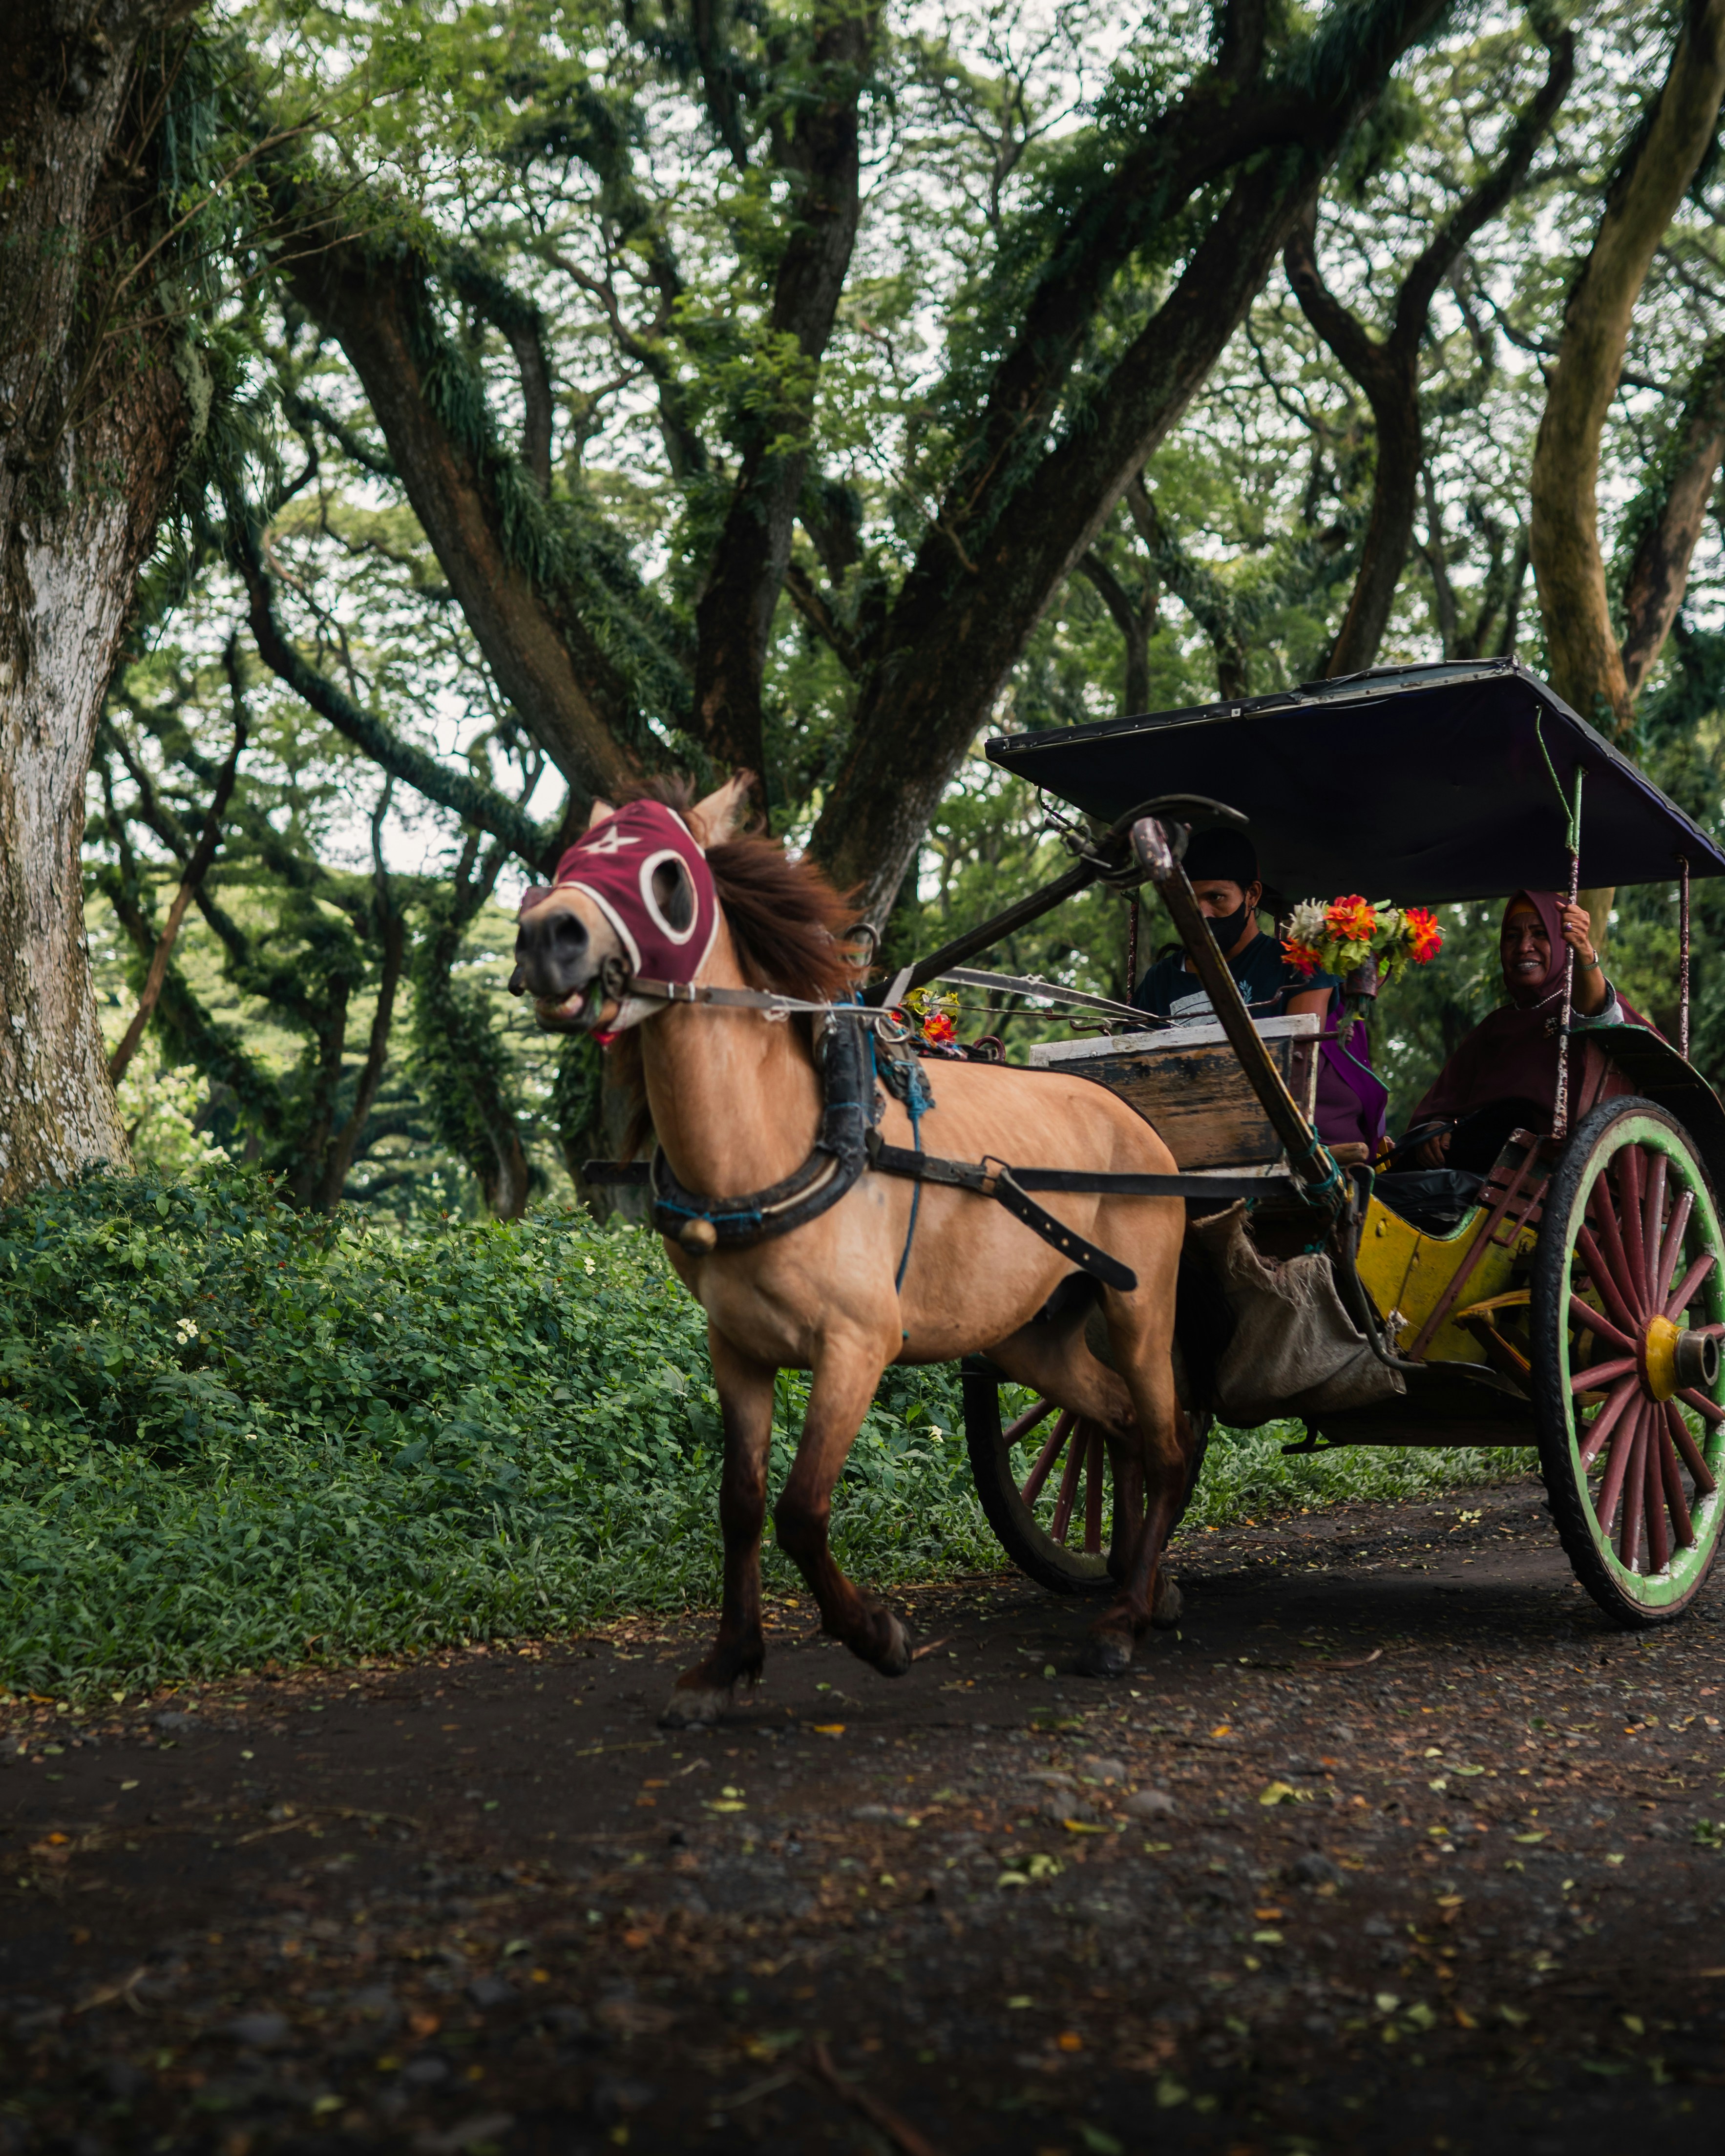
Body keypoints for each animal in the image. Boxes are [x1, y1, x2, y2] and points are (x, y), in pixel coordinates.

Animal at [511, 775, 1197, 1725]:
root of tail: (1131, 1117)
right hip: (1031, 1333)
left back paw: (1123, 1619)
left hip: (1140, 1303)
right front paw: (724, 1665)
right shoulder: (737, 1350)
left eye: (667, 878)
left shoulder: (857, 1345)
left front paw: (877, 1635)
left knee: (1167, 1444)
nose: (546, 936)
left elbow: (802, 1509)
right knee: (1118, 1422)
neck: (778, 1143)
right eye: (570, 860)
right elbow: (740, 1504)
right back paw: (1142, 1581)